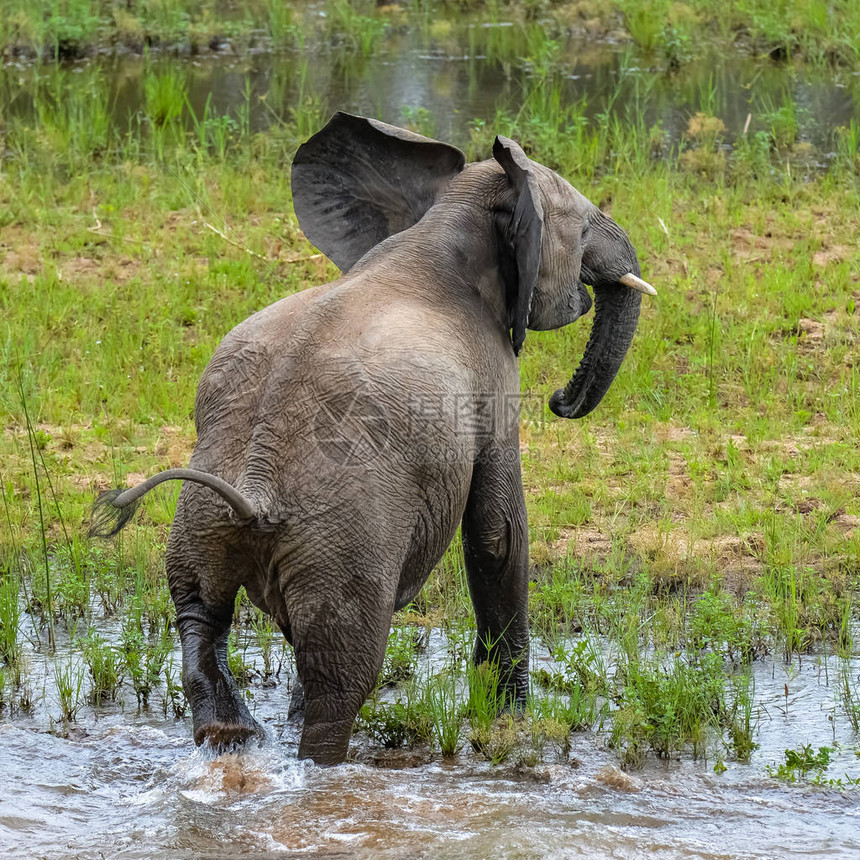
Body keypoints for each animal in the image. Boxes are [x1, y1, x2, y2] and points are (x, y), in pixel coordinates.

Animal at [90, 111, 656, 764]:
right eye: (585, 225)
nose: (560, 401)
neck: (446, 216)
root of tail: (254, 486)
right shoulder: (491, 376)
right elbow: (498, 534)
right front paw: (512, 721)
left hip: (206, 520)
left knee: (200, 619)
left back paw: (233, 741)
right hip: (344, 544)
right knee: (342, 678)